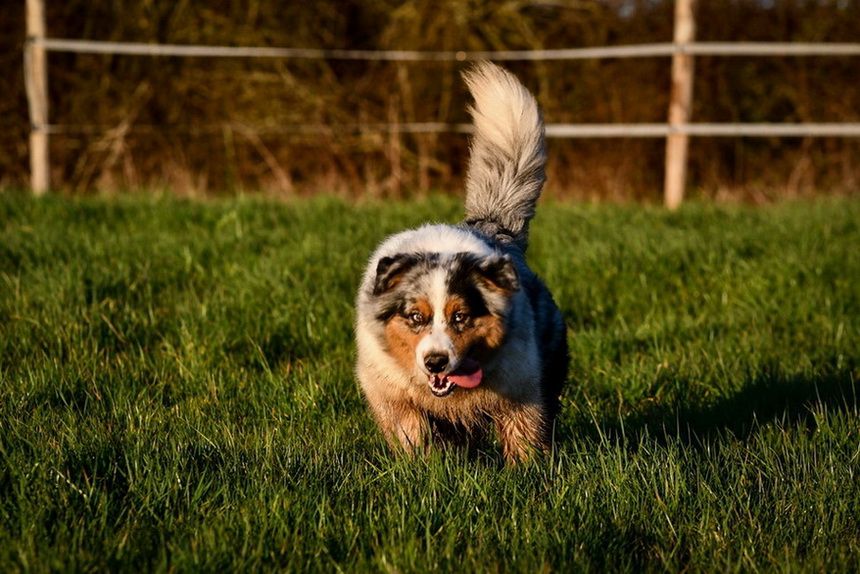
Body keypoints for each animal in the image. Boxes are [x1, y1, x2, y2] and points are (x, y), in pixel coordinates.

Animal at [352, 62, 568, 464]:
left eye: (461, 317)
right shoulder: (390, 393)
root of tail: (493, 225)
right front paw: (425, 466)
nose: (435, 362)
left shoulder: (522, 389)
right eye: (415, 317)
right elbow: (413, 433)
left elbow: (524, 439)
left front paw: (527, 473)